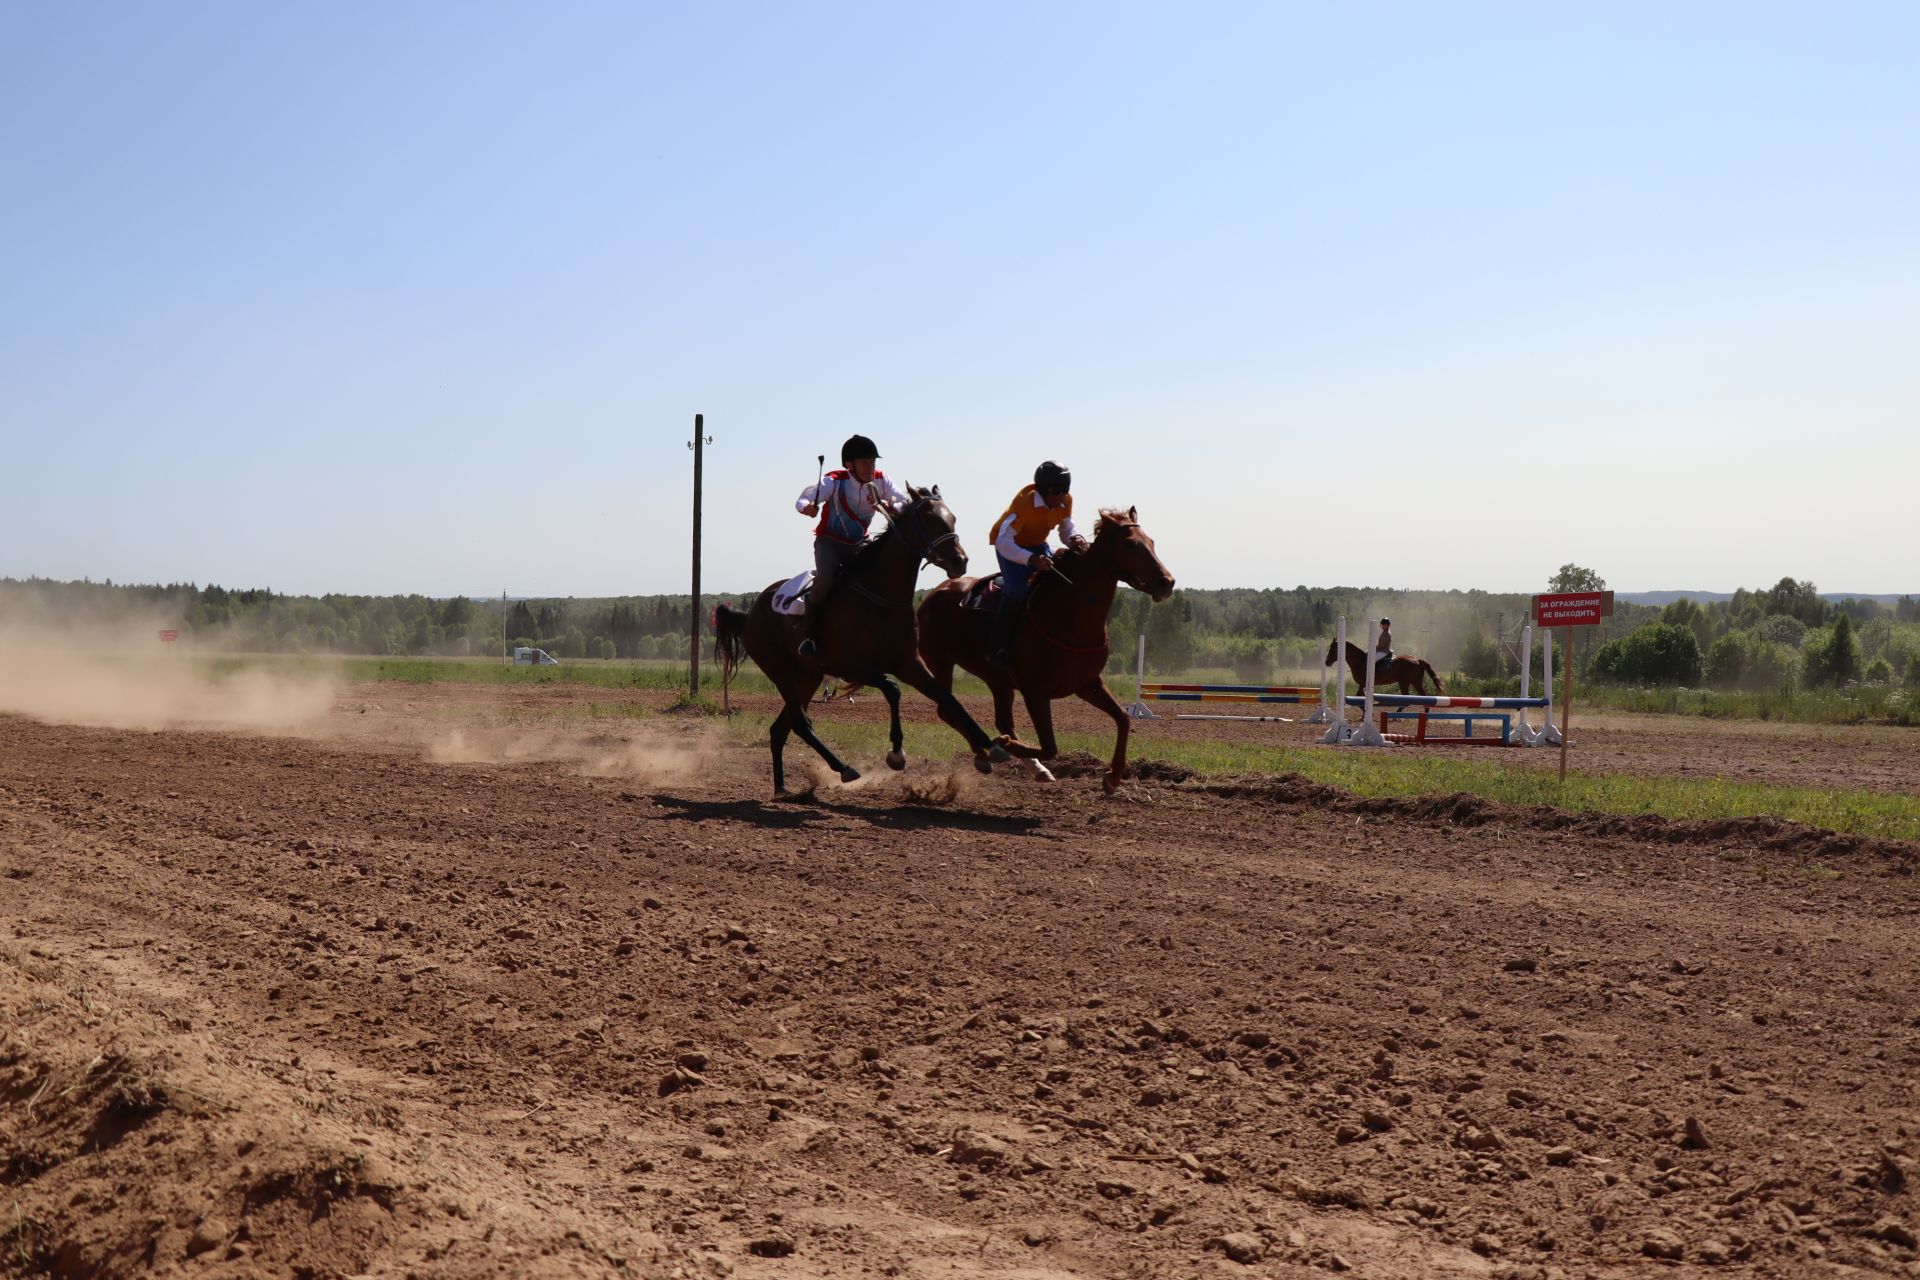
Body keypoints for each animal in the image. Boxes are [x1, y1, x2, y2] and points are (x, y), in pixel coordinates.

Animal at [714, 485, 1013, 794]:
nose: (959, 560)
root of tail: (748, 616)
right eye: (930, 519)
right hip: (780, 671)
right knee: (800, 723)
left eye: (952, 518)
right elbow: (893, 689)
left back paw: (782, 787)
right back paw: (843, 768)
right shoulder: (853, 667)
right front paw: (896, 753)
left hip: (807, 677)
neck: (881, 597)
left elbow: (948, 698)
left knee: (781, 728)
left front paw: (992, 746)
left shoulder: (909, 663)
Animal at [913, 506, 1167, 790]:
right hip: (940, 662)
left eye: (1151, 541)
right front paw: (1004, 745)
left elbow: (1123, 718)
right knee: (949, 710)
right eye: (1130, 544)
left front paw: (1113, 775)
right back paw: (991, 752)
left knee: (1001, 720)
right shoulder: (1035, 692)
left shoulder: (1088, 684)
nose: (1167, 581)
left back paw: (1017, 762)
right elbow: (1049, 747)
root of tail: (935, 592)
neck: (1069, 617)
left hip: (997, 680)